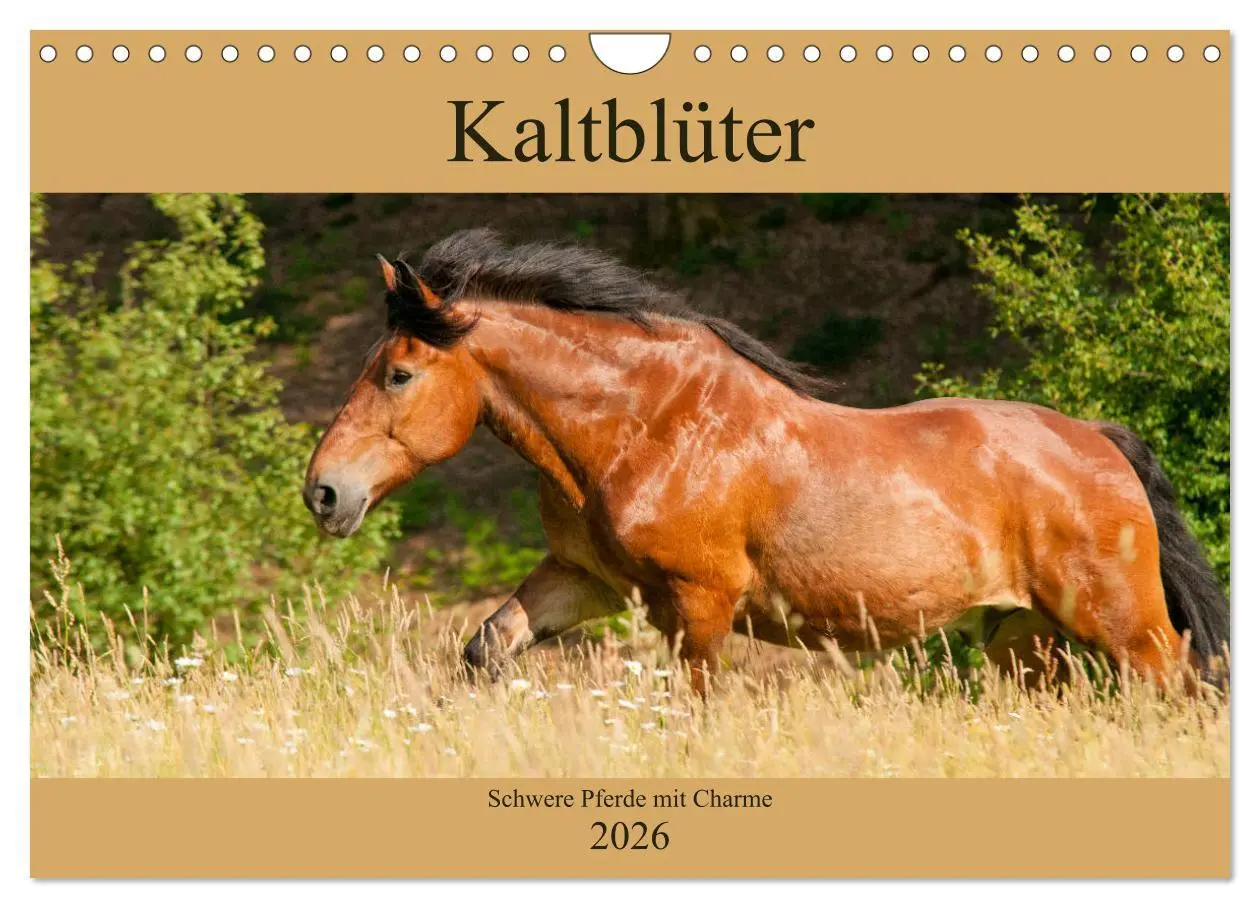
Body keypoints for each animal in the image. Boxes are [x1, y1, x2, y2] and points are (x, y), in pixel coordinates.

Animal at [303, 229, 1229, 692]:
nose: (324, 493)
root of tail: (1098, 439)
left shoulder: (698, 605)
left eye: (397, 373)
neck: (645, 427)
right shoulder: (586, 580)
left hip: (1124, 627)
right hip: (1026, 638)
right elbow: (488, 649)